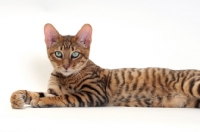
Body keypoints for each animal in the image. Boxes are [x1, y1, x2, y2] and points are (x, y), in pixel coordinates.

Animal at [10, 23, 200, 108]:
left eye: (75, 54)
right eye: (58, 54)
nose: (65, 66)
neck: (65, 77)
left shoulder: (94, 93)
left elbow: (65, 97)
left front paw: (45, 101)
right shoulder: (54, 89)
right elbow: (36, 92)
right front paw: (19, 97)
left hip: (191, 84)